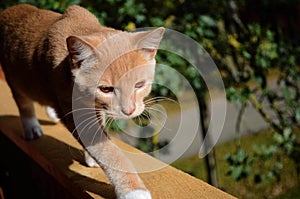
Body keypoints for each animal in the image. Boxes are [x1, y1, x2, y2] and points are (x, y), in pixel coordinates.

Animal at [0, 3, 164, 198]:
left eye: (139, 85)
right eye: (106, 89)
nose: (129, 110)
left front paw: (90, 157)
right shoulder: (76, 113)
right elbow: (110, 153)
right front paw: (134, 190)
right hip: (14, 79)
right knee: (23, 103)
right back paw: (31, 127)